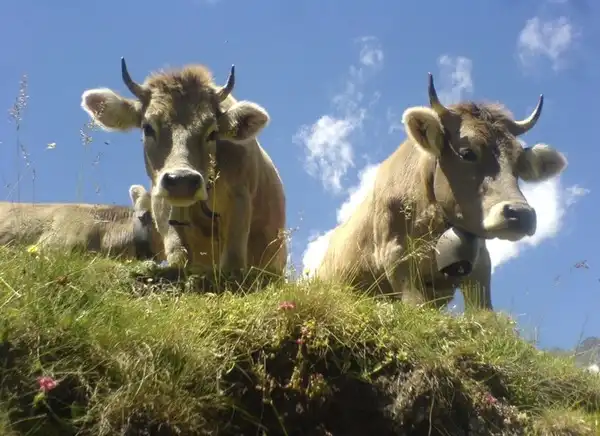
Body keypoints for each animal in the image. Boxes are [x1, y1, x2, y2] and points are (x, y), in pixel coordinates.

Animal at [79, 58, 288, 278]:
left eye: (213, 132)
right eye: (147, 127)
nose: (182, 180)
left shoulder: (240, 198)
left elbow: (233, 258)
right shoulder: (162, 202)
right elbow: (178, 252)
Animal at [314, 73, 568, 310]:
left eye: (519, 163)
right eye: (467, 152)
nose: (520, 213)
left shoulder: (479, 264)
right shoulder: (395, 254)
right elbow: (415, 306)